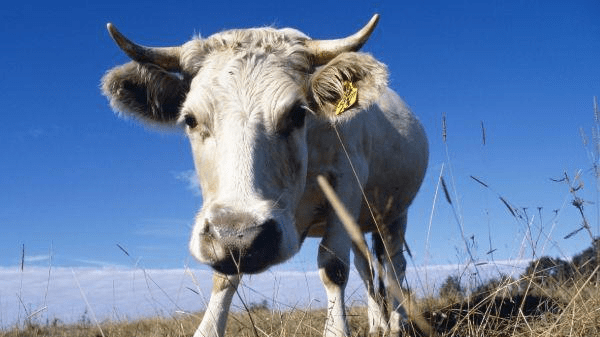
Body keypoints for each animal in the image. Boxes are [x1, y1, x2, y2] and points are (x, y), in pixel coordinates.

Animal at [102, 14, 426, 336]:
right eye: (190, 119)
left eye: (298, 113)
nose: (241, 237)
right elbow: (225, 275)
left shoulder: (346, 183)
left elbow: (333, 266)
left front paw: (337, 329)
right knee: (367, 266)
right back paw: (378, 323)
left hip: (394, 214)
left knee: (394, 265)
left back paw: (398, 322)